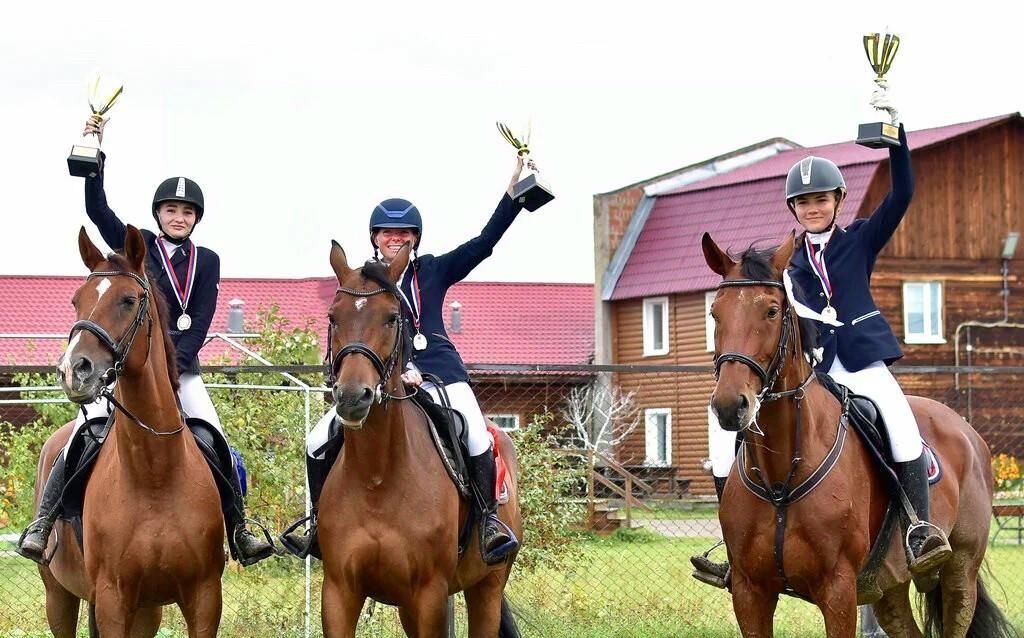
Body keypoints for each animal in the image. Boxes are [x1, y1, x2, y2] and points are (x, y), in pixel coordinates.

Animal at [317, 240, 524, 638]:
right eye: (333, 318)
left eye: (391, 317)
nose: (352, 397)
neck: (377, 478)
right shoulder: (338, 591)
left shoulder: (429, 594)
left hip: (487, 586)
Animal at [700, 230, 1011, 638]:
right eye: (715, 313)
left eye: (770, 311)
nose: (729, 405)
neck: (781, 475)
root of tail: (967, 430)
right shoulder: (750, 591)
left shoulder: (838, 588)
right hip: (888, 586)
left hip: (960, 573)